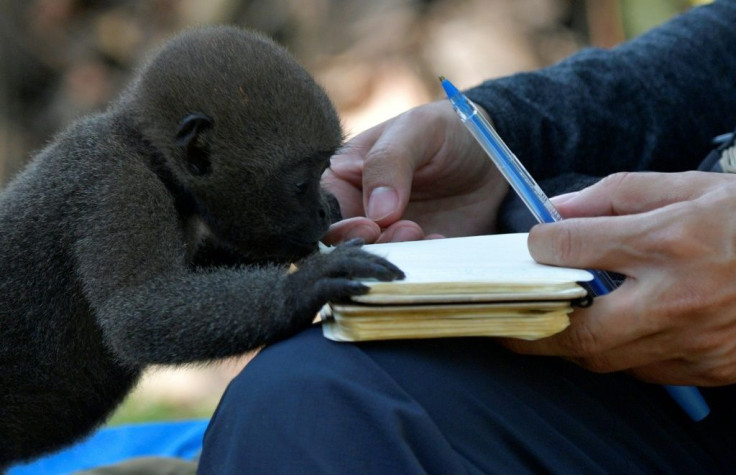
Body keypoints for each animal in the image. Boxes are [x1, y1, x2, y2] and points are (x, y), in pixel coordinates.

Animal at [0, 27, 402, 468]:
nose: (320, 211)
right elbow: (135, 312)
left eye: (324, 169)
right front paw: (309, 283)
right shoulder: (114, 185)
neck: (145, 153)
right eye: (301, 183)